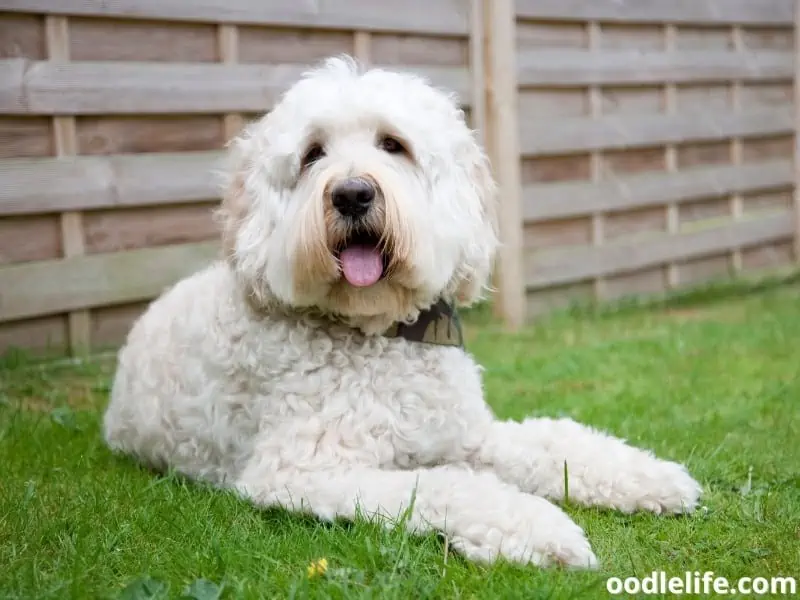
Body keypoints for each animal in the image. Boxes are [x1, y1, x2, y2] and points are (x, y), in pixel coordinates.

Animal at [103, 57, 704, 572]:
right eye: (313, 154)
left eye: (393, 144)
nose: (351, 193)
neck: (383, 333)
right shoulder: (303, 470)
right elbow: (448, 485)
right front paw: (540, 531)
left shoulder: (465, 434)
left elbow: (552, 442)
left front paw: (648, 478)